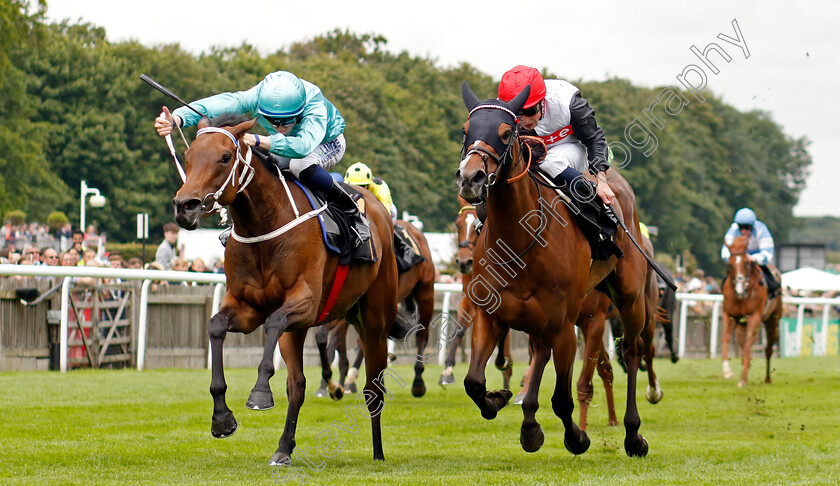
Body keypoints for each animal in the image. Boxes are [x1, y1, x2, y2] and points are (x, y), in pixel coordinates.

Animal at [720, 235, 780, 388]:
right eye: (730, 264)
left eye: (747, 262)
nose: (740, 287)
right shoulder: (729, 314)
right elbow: (726, 338)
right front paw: (727, 371)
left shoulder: (755, 316)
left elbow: (748, 345)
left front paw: (743, 380)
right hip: (742, 323)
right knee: (742, 342)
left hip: (773, 320)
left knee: (768, 348)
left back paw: (767, 378)